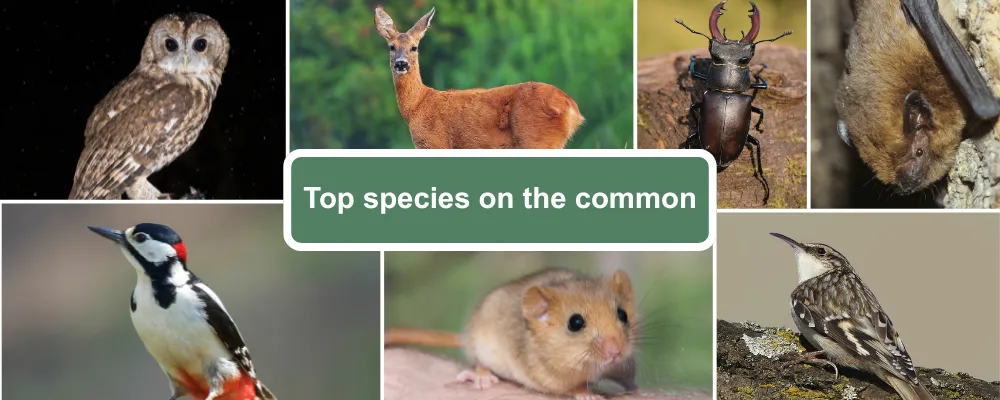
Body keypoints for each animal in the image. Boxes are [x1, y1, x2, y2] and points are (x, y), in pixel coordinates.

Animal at [373, 5, 585, 149]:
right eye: (391, 47)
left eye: (414, 47)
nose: (401, 64)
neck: (417, 105)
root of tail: (571, 108)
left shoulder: (435, 142)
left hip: (535, 138)